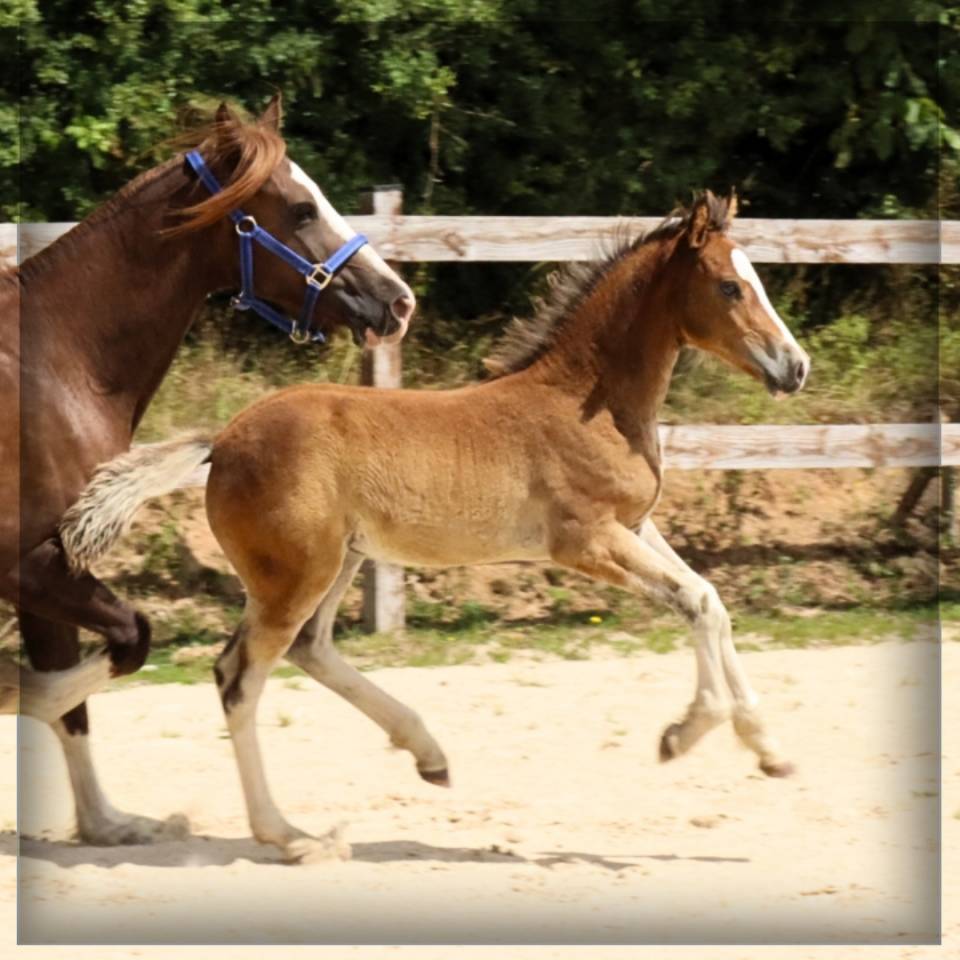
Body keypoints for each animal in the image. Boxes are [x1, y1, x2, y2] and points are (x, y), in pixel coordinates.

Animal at [2, 93, 415, 845]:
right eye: (301, 209)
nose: (399, 301)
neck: (49, 365)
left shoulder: (50, 563)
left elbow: (75, 699)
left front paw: (107, 823)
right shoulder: (26, 563)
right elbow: (121, 647)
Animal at [62, 191, 810, 862]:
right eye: (729, 287)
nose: (795, 366)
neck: (588, 402)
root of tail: (223, 439)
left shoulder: (638, 526)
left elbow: (711, 600)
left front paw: (770, 752)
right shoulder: (586, 540)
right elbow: (699, 602)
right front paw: (685, 734)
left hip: (337, 562)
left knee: (310, 649)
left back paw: (428, 754)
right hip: (297, 574)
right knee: (239, 677)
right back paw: (291, 836)